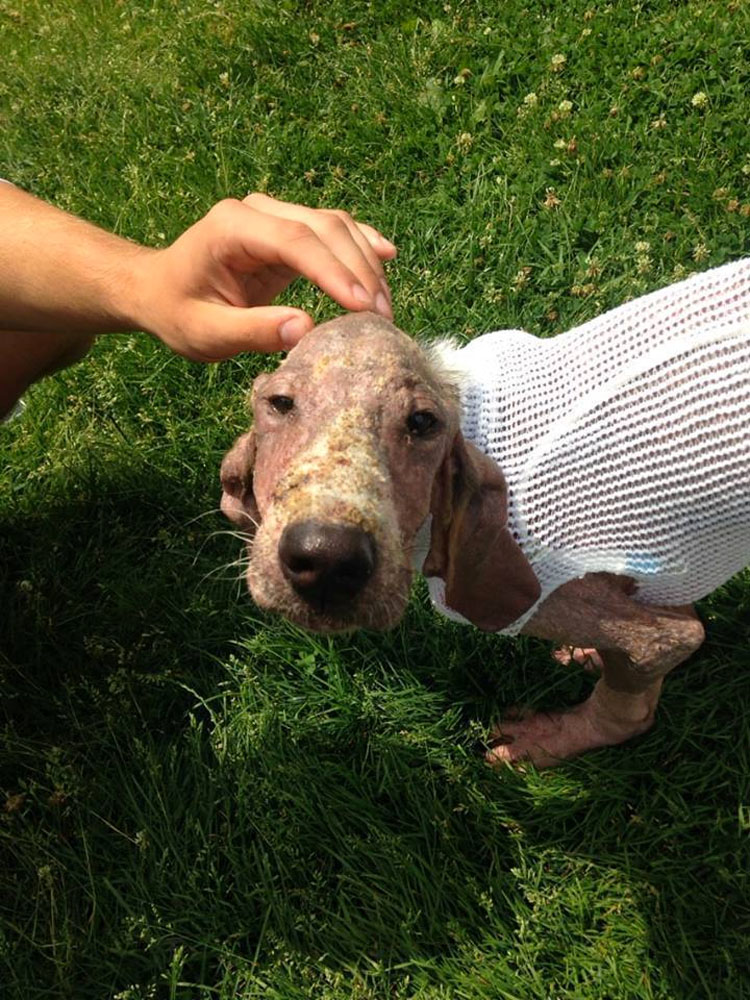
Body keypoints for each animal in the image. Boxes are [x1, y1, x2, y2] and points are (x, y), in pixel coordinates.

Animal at [222, 260, 750, 764]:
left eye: (423, 421)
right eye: (279, 403)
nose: (327, 559)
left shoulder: (561, 602)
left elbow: (655, 665)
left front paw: (549, 740)